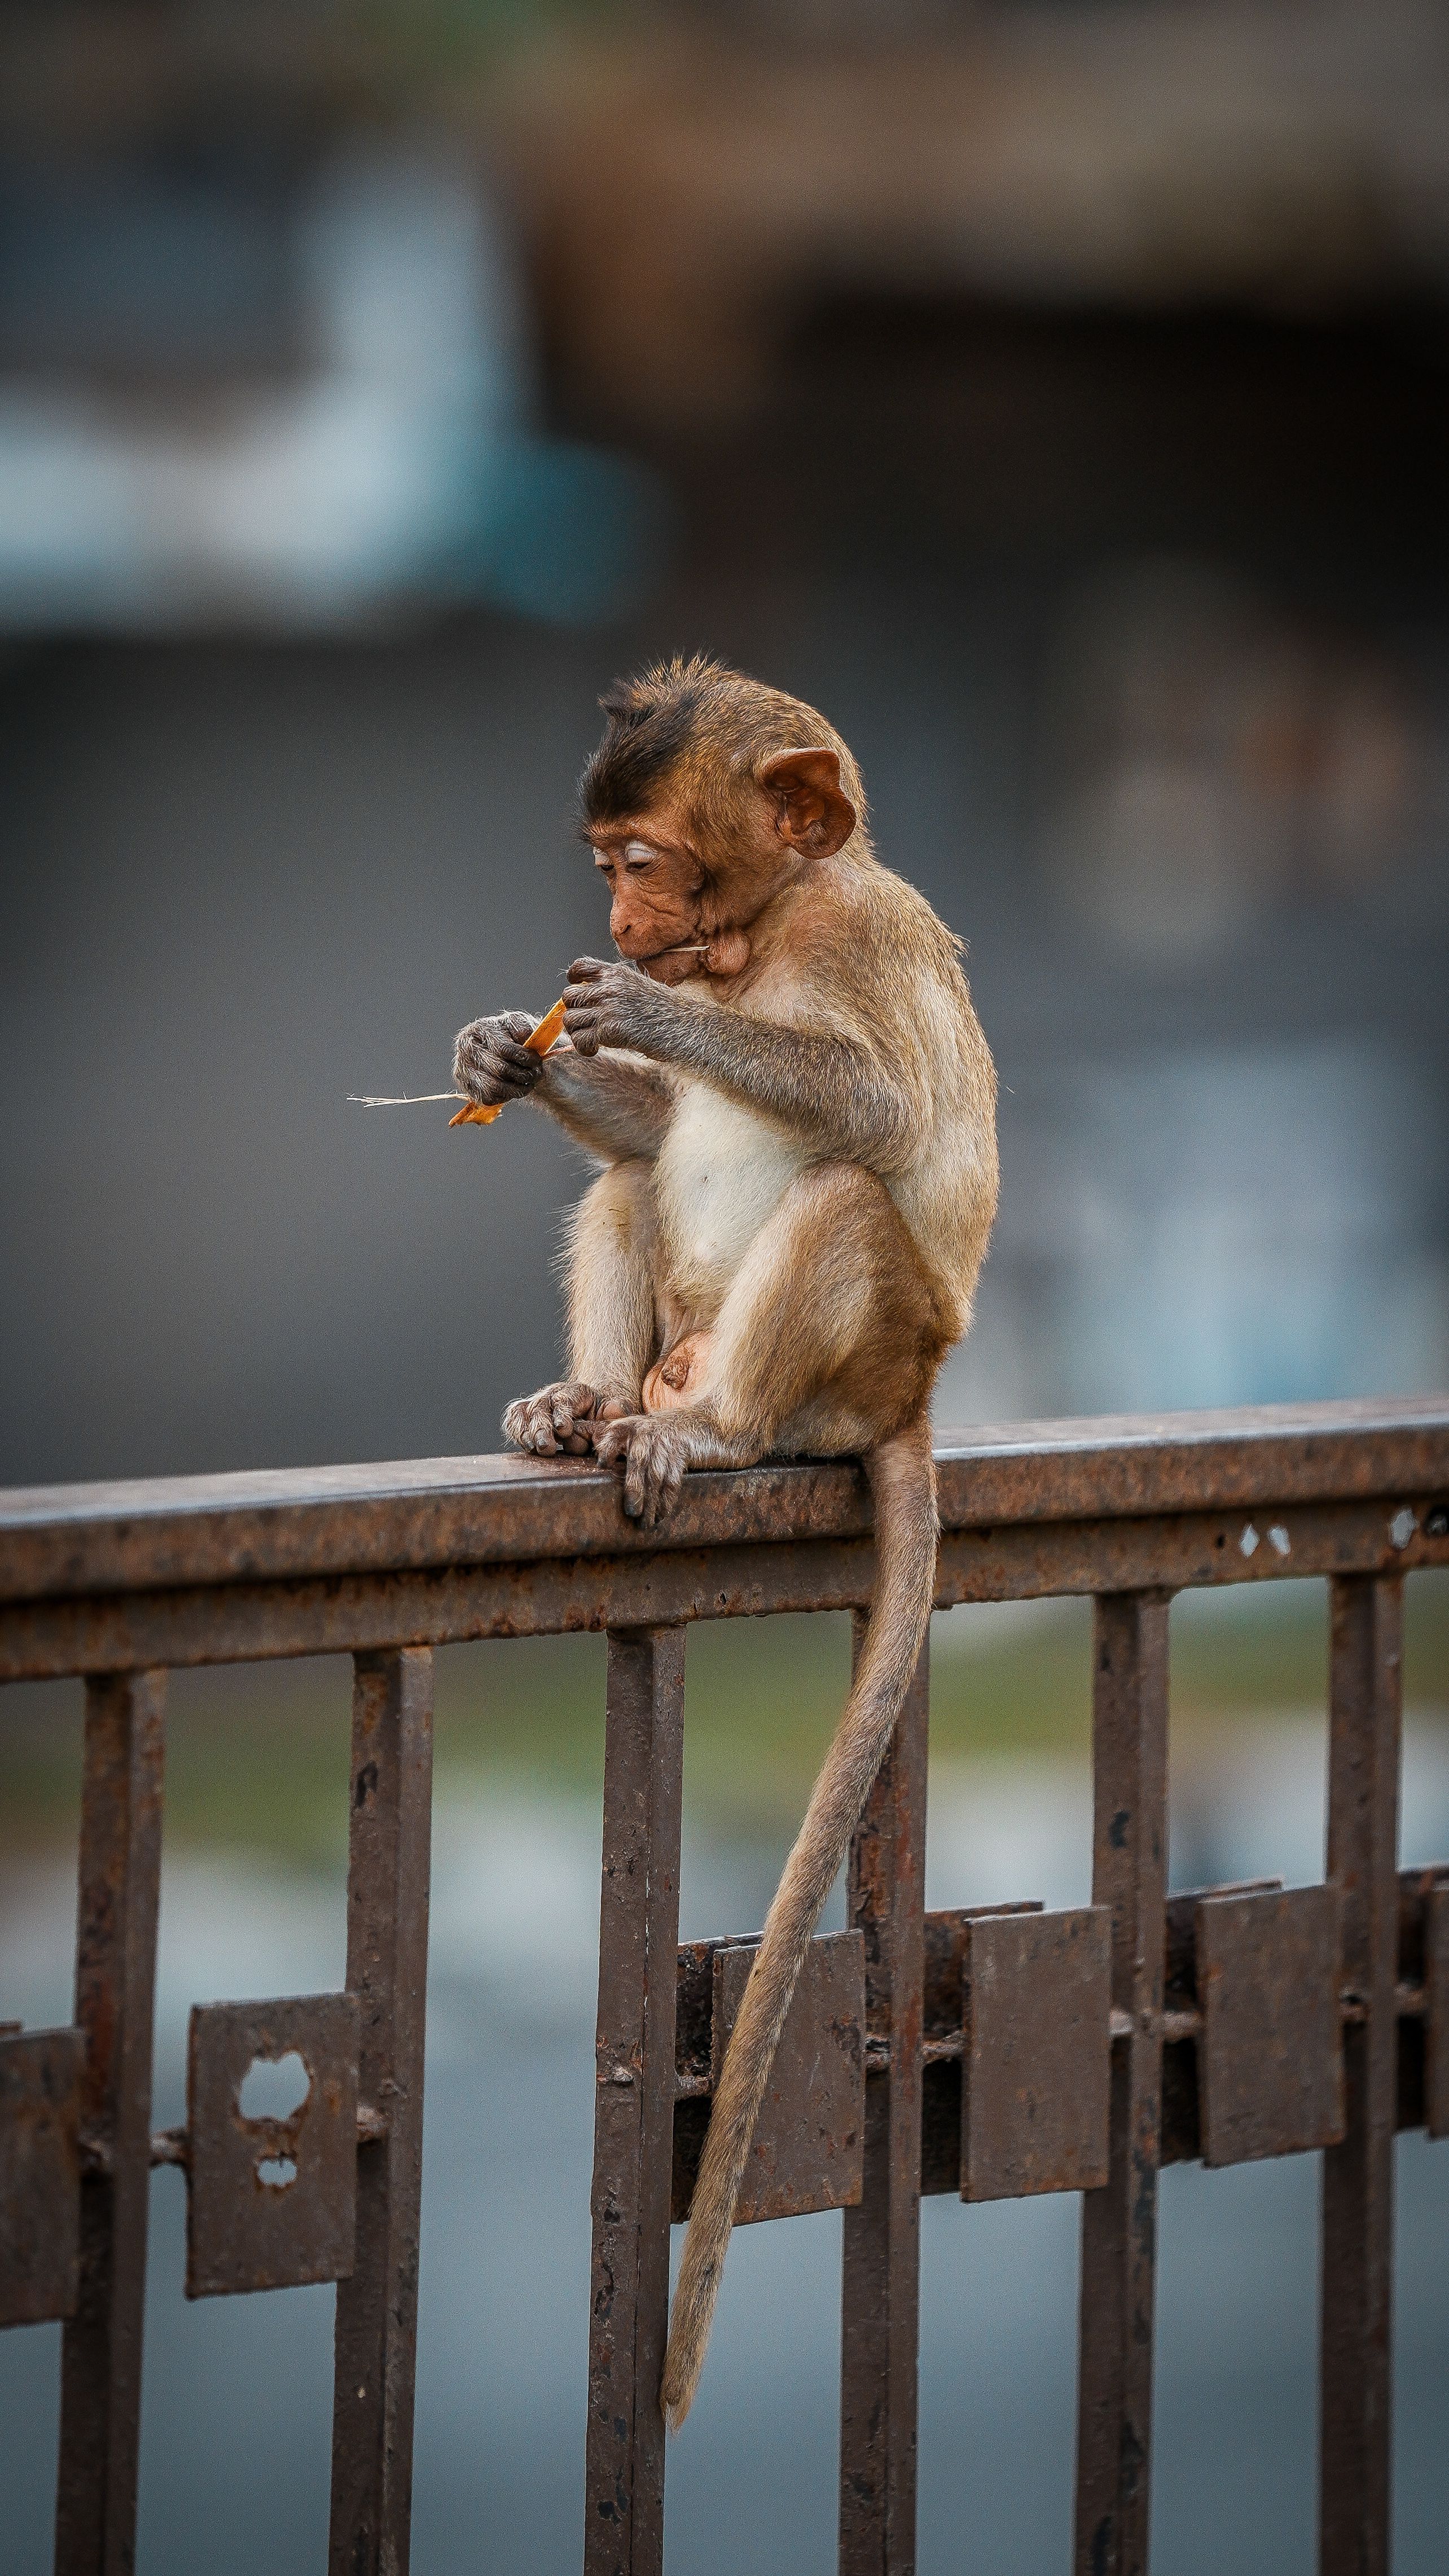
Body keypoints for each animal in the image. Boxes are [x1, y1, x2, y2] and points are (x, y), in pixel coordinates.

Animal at [453, 656, 997, 2428]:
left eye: (644, 859)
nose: (618, 919)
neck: (768, 934)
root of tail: (912, 1399)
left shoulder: (868, 935)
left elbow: (879, 1101)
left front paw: (654, 1013)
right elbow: (635, 1143)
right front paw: (521, 1053)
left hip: (871, 1355)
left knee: (842, 1196)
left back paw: (717, 1434)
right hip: (681, 1330)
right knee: (629, 1190)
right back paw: (584, 1404)